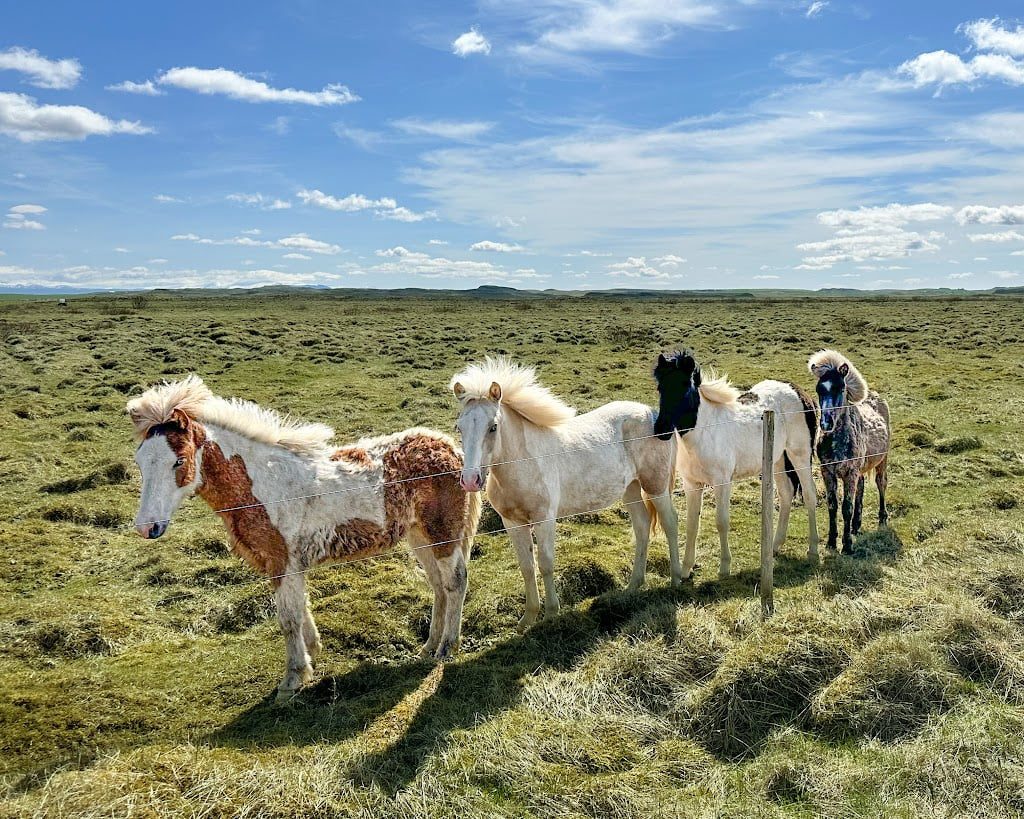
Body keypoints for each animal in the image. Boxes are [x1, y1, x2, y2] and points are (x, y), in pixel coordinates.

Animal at [126, 374, 479, 700]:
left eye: (179, 461)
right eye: (140, 461)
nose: (147, 527)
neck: (264, 484)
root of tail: (451, 449)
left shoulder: (284, 561)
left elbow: (288, 618)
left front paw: (292, 679)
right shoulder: (283, 564)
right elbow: (300, 608)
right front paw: (312, 650)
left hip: (443, 533)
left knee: (455, 582)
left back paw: (447, 647)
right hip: (421, 536)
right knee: (439, 586)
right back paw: (428, 647)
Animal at [450, 354, 679, 630]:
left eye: (493, 427)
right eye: (459, 427)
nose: (470, 480)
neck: (524, 462)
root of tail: (652, 413)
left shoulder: (544, 519)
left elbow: (546, 564)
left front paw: (550, 614)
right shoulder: (512, 522)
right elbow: (526, 567)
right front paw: (527, 619)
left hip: (656, 486)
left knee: (670, 522)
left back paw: (678, 579)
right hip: (631, 489)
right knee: (642, 527)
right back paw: (634, 585)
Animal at [655, 350, 815, 577]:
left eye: (685, 386)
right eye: (660, 387)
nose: (661, 429)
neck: (704, 430)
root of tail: (800, 392)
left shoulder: (722, 482)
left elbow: (721, 521)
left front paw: (724, 568)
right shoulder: (692, 484)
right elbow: (692, 524)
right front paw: (686, 570)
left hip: (799, 456)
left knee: (810, 495)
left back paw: (813, 550)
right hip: (777, 460)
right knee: (787, 493)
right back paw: (774, 547)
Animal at [806, 348, 888, 552]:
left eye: (840, 388)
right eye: (819, 389)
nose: (826, 423)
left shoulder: (850, 473)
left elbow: (846, 507)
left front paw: (847, 545)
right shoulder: (828, 472)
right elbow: (833, 505)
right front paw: (831, 542)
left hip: (882, 461)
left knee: (881, 483)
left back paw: (882, 517)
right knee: (861, 487)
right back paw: (856, 525)